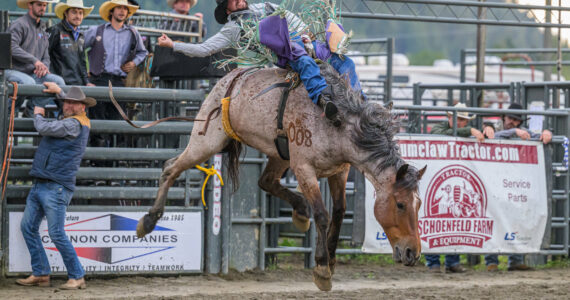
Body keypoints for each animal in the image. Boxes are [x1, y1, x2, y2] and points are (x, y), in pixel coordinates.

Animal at [134, 62, 426, 290]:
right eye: (401, 204)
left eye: (419, 204)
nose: (413, 252)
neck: (339, 124)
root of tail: (230, 78)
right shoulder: (304, 168)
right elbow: (323, 214)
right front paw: (322, 269)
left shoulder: (339, 171)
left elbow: (340, 212)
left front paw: (331, 258)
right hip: (207, 141)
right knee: (171, 167)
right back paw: (148, 221)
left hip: (278, 154)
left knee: (265, 181)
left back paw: (300, 212)